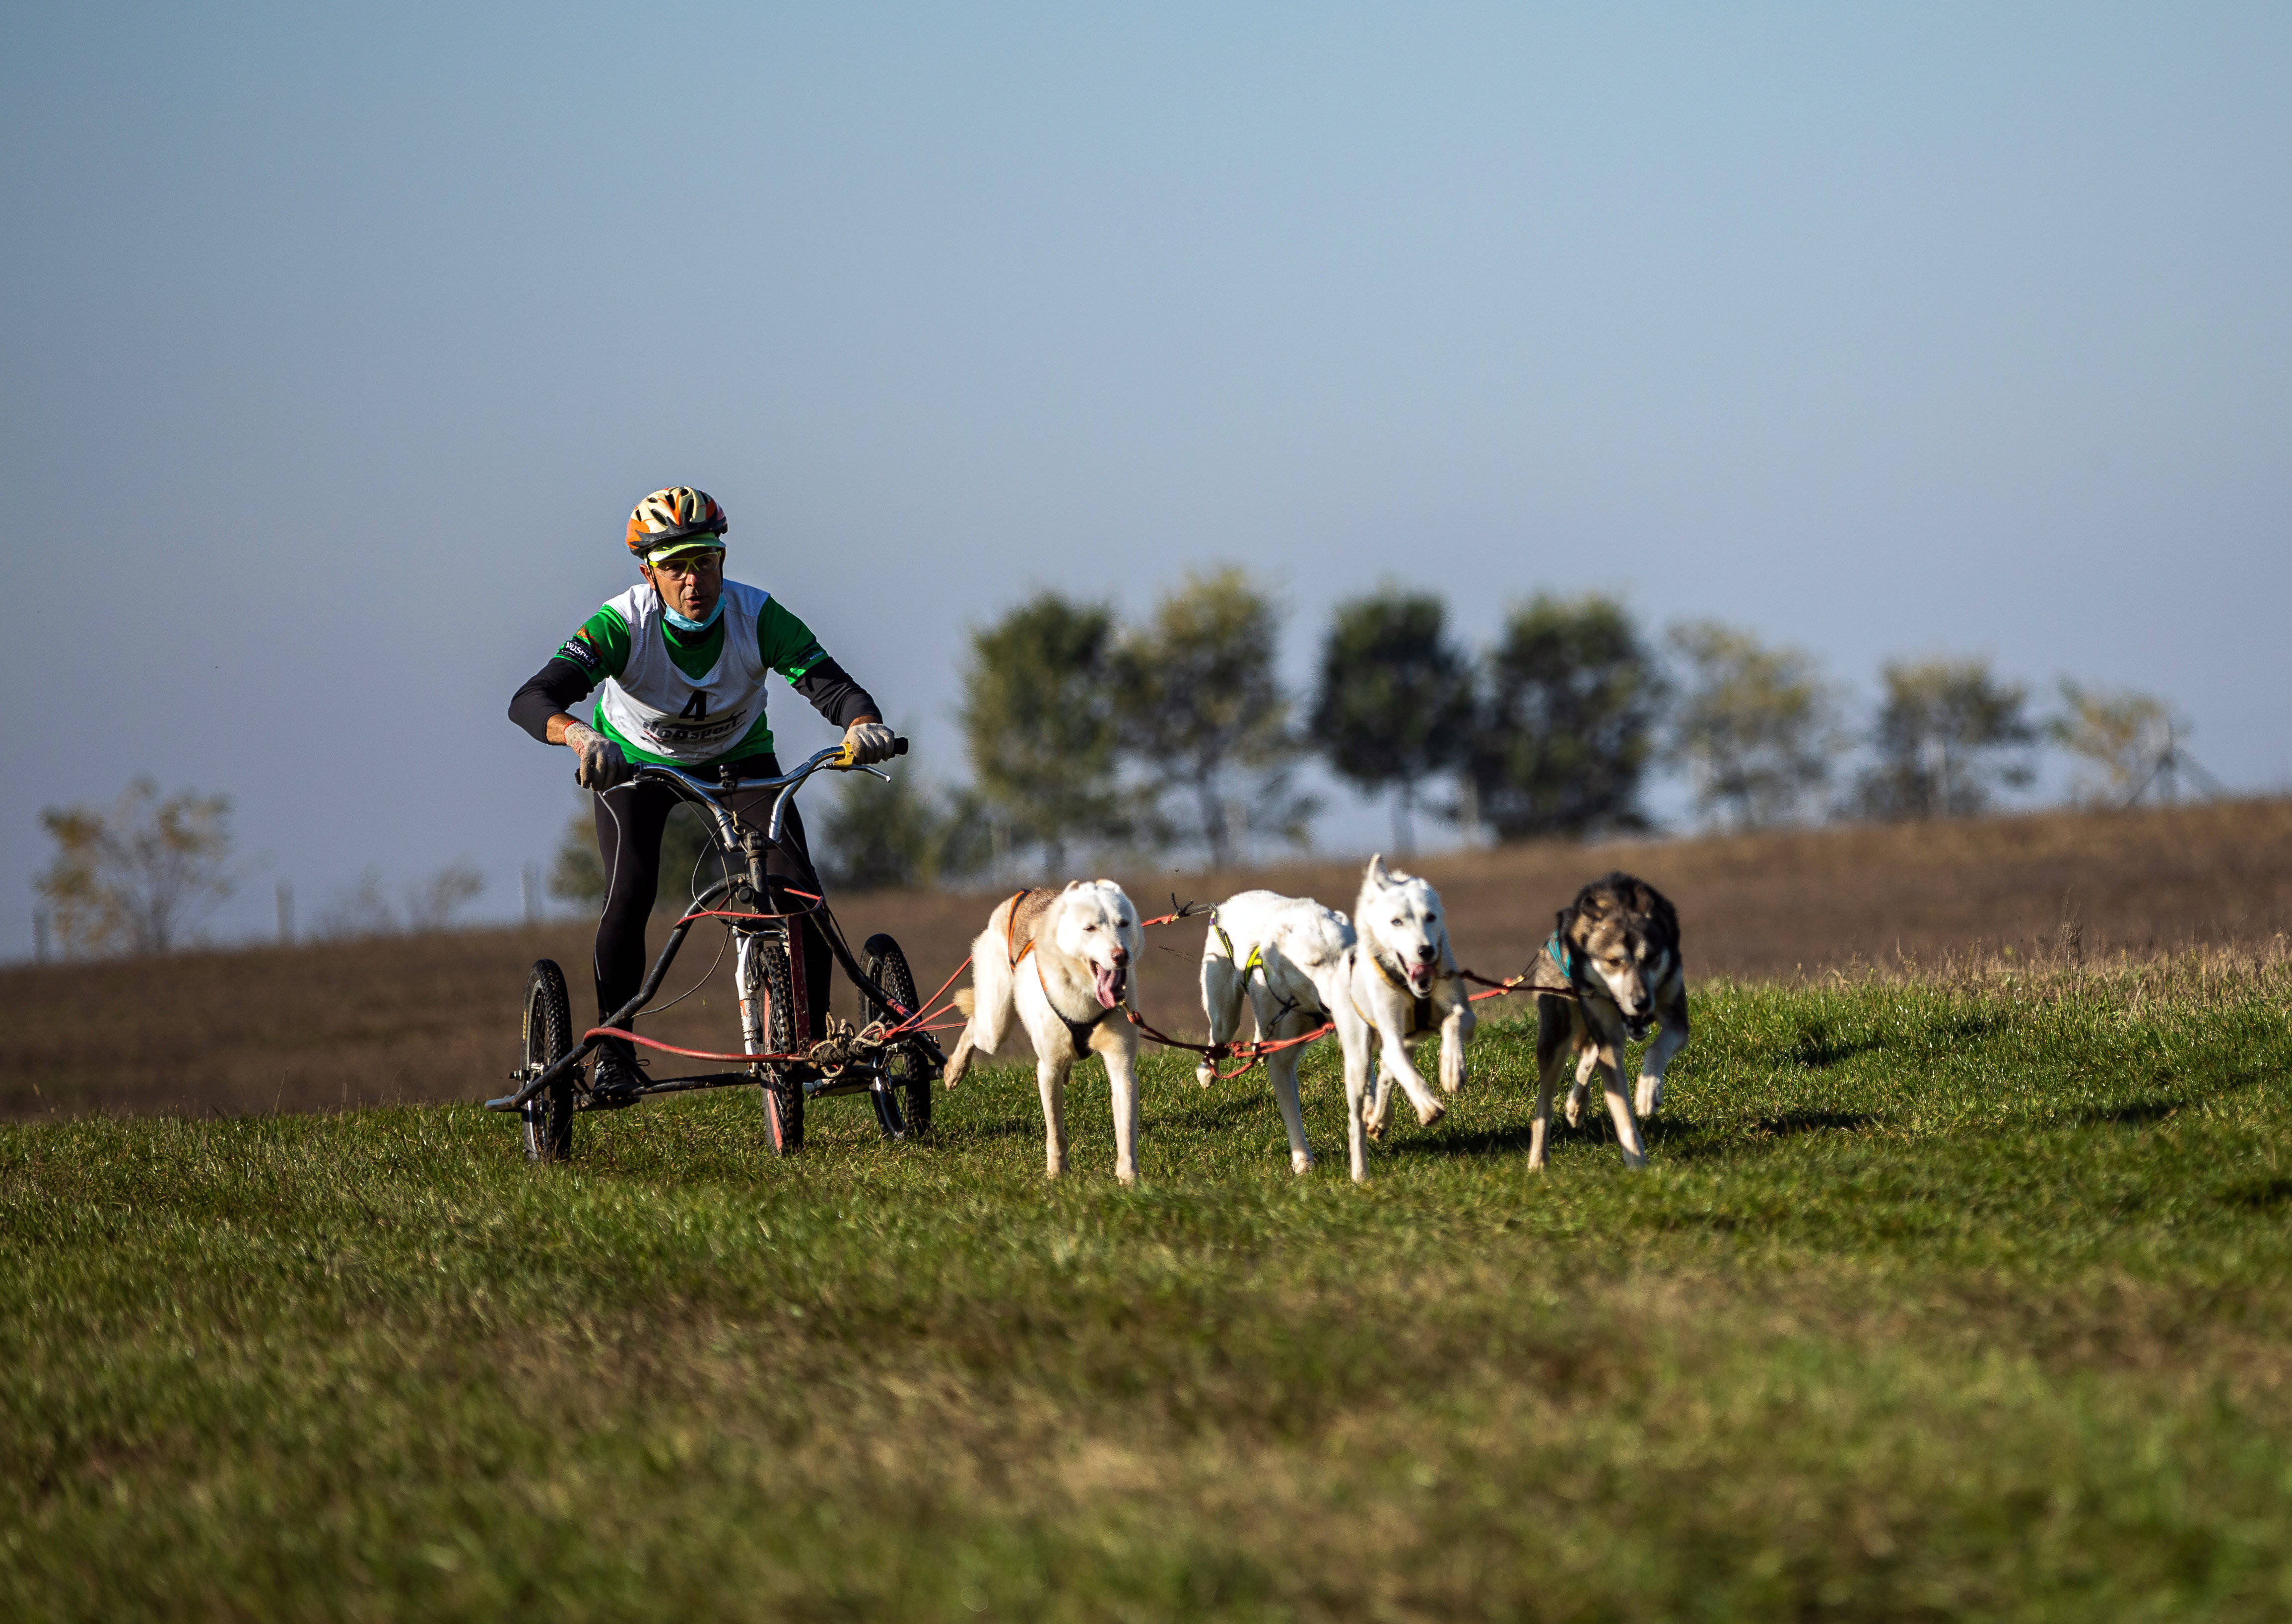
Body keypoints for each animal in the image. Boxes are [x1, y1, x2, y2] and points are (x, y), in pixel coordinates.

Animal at [940, 879, 1146, 1182]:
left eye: (1124, 923)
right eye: (1090, 928)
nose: (1121, 956)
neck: (1083, 996)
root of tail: (1022, 895)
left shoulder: (1122, 1066)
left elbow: (1126, 1132)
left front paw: (1129, 1179)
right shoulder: (1047, 1068)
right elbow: (1056, 1133)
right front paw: (1057, 1175)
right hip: (995, 1026)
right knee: (973, 1027)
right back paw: (954, 1070)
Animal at [1201, 889, 1375, 1182]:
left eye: (1348, 960)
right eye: (1314, 963)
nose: (1348, 994)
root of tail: (1226, 904)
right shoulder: (1282, 1063)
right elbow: (1292, 1114)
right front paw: (1303, 1162)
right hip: (1225, 1015)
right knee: (1218, 1037)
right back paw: (1206, 1071)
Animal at [1348, 856, 1476, 1136]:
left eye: (1430, 917)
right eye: (1397, 922)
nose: (1426, 950)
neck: (1413, 990)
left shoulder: (1466, 1014)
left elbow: (1454, 1021)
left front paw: (1452, 1068)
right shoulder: (1392, 1033)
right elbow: (1405, 1070)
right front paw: (1428, 1107)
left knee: (1386, 1071)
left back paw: (1380, 1118)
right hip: (1360, 1045)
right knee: (1384, 1066)